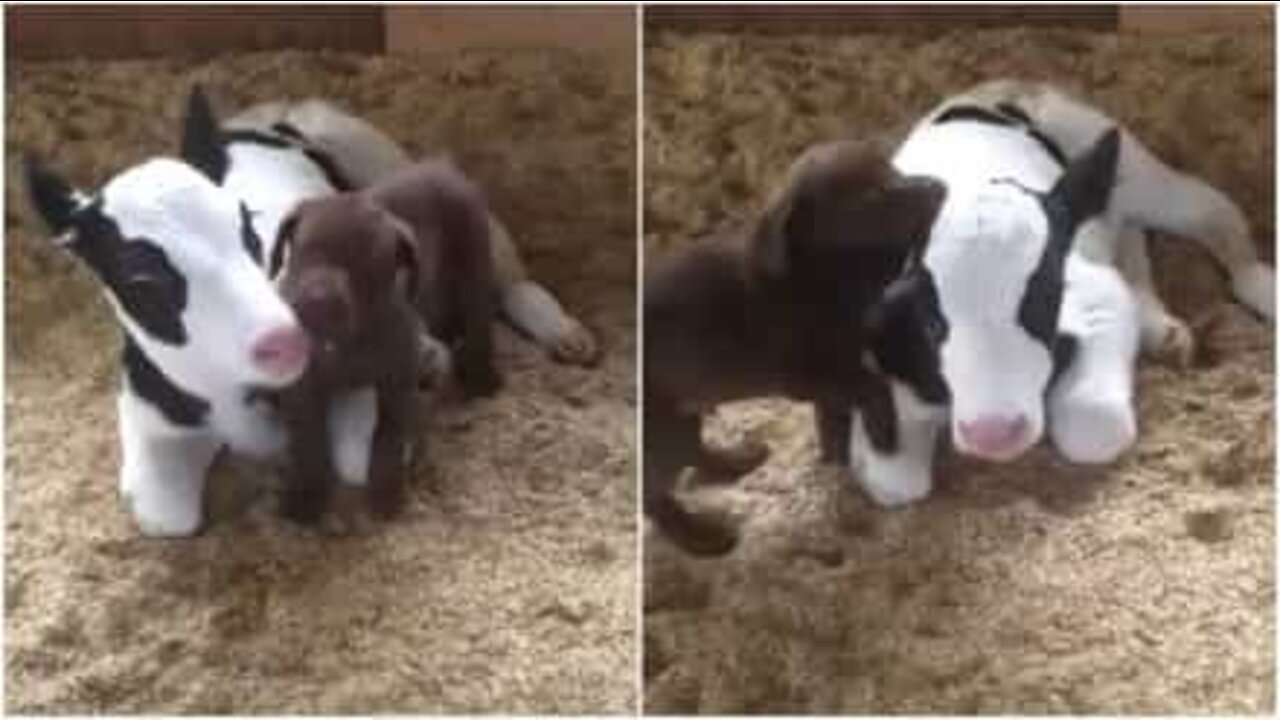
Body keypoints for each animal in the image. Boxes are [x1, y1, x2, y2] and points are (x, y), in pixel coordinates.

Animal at [275, 161, 499, 520]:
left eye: (365, 265)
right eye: (302, 253)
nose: (317, 301)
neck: (348, 342)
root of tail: (440, 165)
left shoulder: (397, 382)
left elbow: (389, 433)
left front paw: (386, 490)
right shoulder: (303, 386)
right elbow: (308, 437)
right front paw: (305, 498)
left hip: (475, 258)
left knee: (480, 322)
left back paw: (482, 379)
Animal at [645, 140, 947, 556]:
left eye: (894, 171)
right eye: (872, 196)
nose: (941, 186)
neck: (815, 278)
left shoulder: (837, 369)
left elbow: (837, 415)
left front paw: (835, 462)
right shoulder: (810, 374)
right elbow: (872, 387)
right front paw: (883, 434)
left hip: (682, 416)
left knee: (694, 452)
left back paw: (735, 461)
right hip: (661, 432)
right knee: (655, 496)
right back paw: (699, 535)